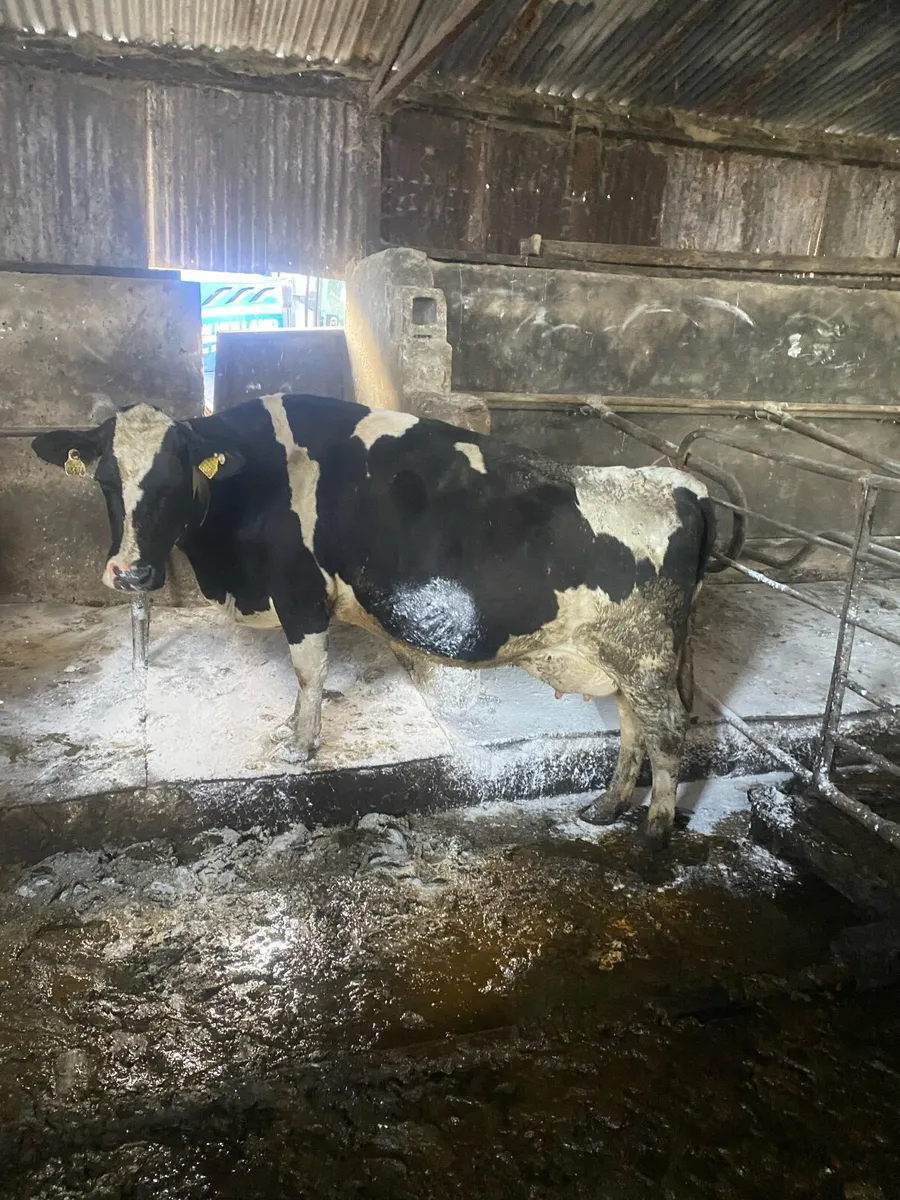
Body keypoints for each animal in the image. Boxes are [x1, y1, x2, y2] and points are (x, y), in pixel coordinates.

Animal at [32, 394, 733, 848]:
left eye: (174, 479)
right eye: (106, 480)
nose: (130, 573)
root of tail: (681, 484)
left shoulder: (300, 593)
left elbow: (309, 671)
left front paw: (300, 744)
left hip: (645, 649)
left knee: (667, 731)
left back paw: (654, 835)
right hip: (622, 653)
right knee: (633, 725)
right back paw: (604, 809)